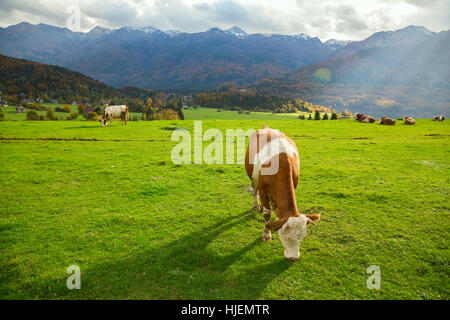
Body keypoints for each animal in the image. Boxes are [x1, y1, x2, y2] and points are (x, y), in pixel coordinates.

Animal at [243, 125, 320, 260]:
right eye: (286, 236)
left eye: (302, 236)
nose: (293, 257)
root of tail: (266, 127)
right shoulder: (263, 190)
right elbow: (267, 214)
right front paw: (266, 234)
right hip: (253, 176)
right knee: (255, 190)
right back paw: (256, 205)